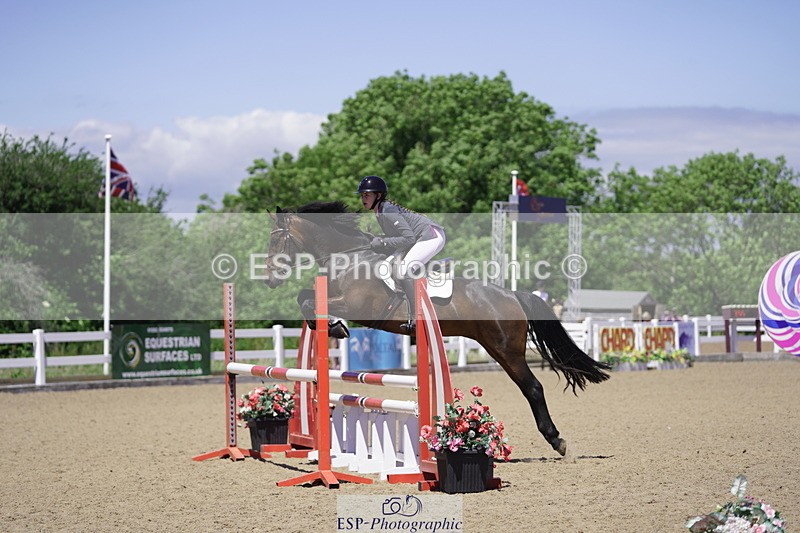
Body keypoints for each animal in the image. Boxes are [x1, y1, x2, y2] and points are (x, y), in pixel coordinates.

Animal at [262, 200, 610, 456]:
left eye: (277, 239)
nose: (270, 280)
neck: (350, 258)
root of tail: (512, 295)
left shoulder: (356, 304)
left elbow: (311, 303)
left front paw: (336, 327)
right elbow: (305, 298)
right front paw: (332, 327)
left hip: (506, 349)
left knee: (533, 388)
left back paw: (557, 440)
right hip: (496, 347)